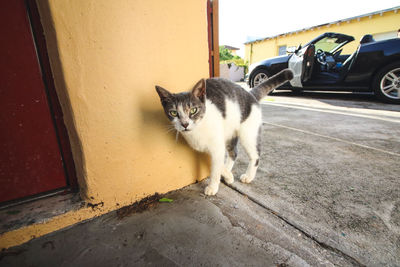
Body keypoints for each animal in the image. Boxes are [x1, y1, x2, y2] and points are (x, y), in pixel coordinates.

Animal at [156, 68, 294, 196]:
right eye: (173, 113)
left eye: (193, 110)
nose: (185, 124)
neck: (198, 130)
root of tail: (250, 93)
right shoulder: (210, 148)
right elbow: (217, 165)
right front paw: (227, 175)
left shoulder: (217, 147)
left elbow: (215, 168)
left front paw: (212, 187)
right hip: (229, 134)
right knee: (234, 153)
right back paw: (228, 171)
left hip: (248, 135)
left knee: (255, 155)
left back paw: (249, 176)